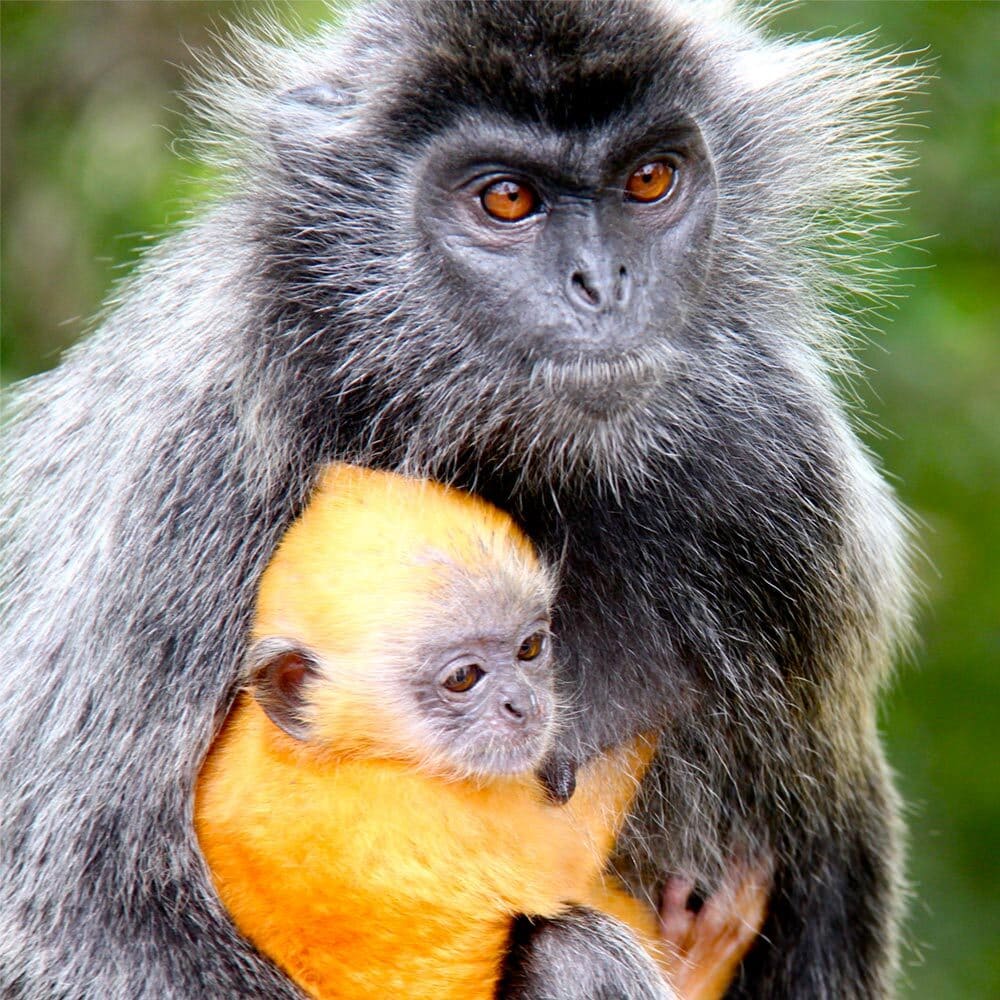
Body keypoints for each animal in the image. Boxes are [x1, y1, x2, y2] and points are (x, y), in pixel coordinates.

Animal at [0, 3, 917, 998]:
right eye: (507, 200)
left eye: (649, 179)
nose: (603, 285)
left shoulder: (784, 473)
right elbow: (81, 909)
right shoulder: (192, 457)